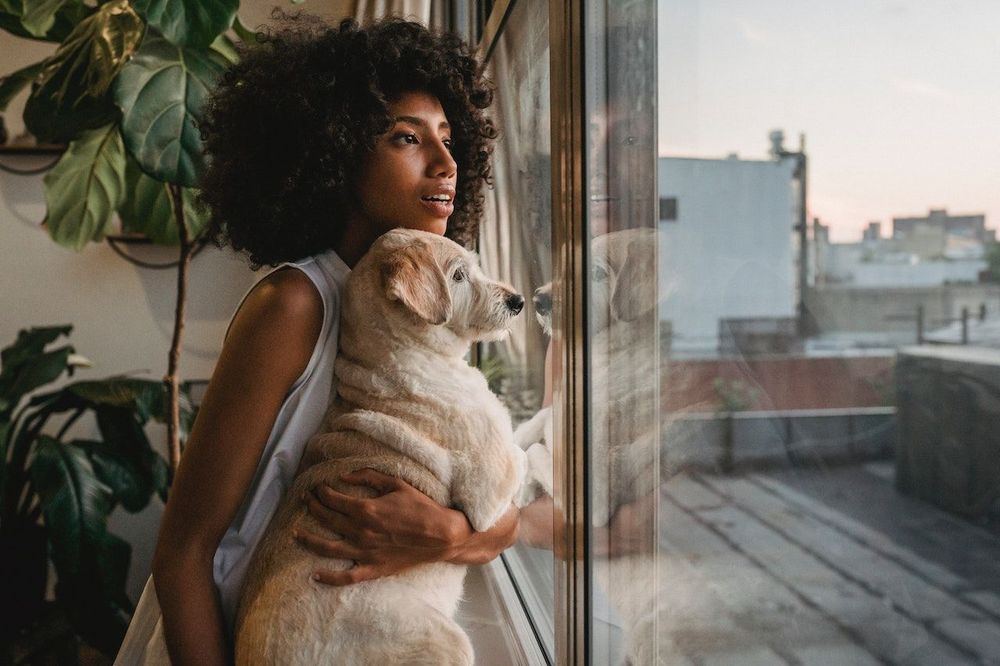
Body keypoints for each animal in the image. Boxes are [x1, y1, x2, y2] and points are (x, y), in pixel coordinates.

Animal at [235, 230, 528, 664]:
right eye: (458, 276)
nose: (518, 301)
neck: (403, 354)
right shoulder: (489, 489)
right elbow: (527, 455)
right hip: (443, 639)